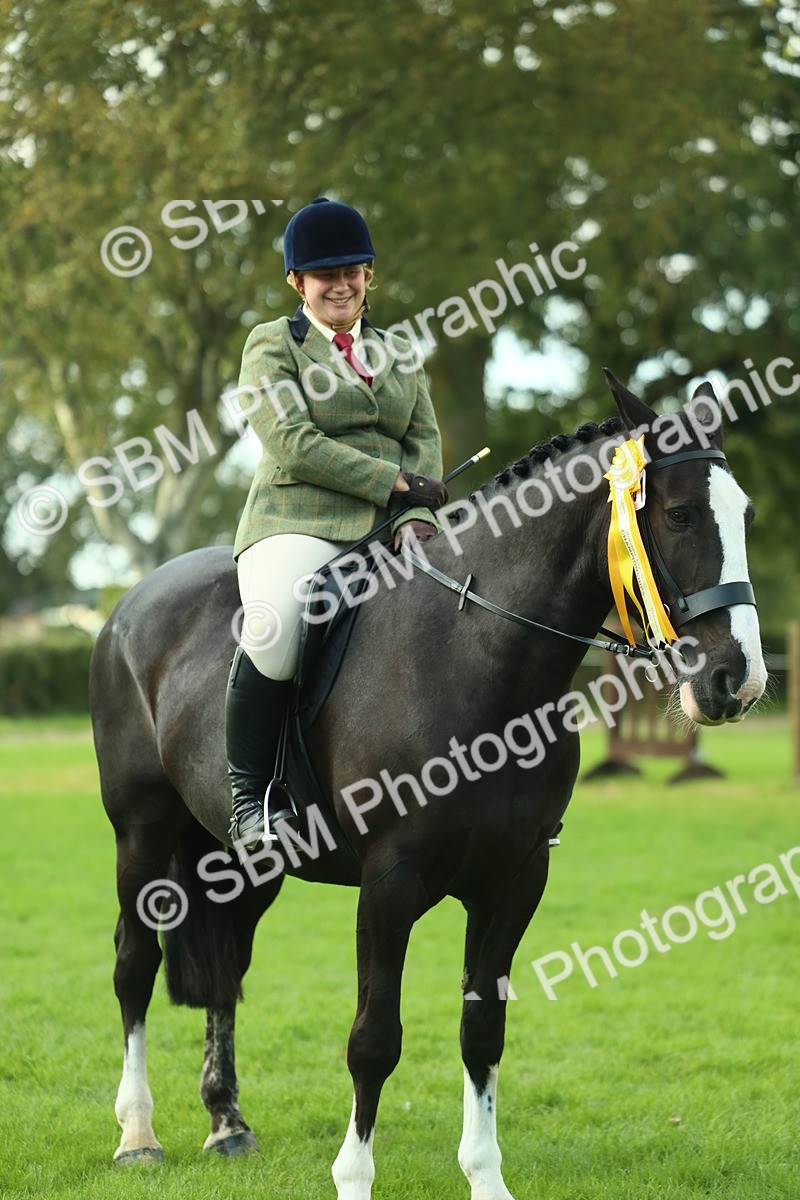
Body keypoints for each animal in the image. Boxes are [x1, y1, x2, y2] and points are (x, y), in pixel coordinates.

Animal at [90, 372, 766, 1199]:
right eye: (678, 515)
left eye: (745, 516)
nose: (737, 681)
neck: (477, 655)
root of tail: (129, 604)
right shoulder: (391, 881)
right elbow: (374, 1039)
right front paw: (353, 1178)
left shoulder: (516, 879)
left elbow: (483, 1032)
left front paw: (486, 1177)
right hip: (142, 835)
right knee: (134, 965)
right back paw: (137, 1136)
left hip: (243, 863)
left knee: (225, 971)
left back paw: (228, 1124)